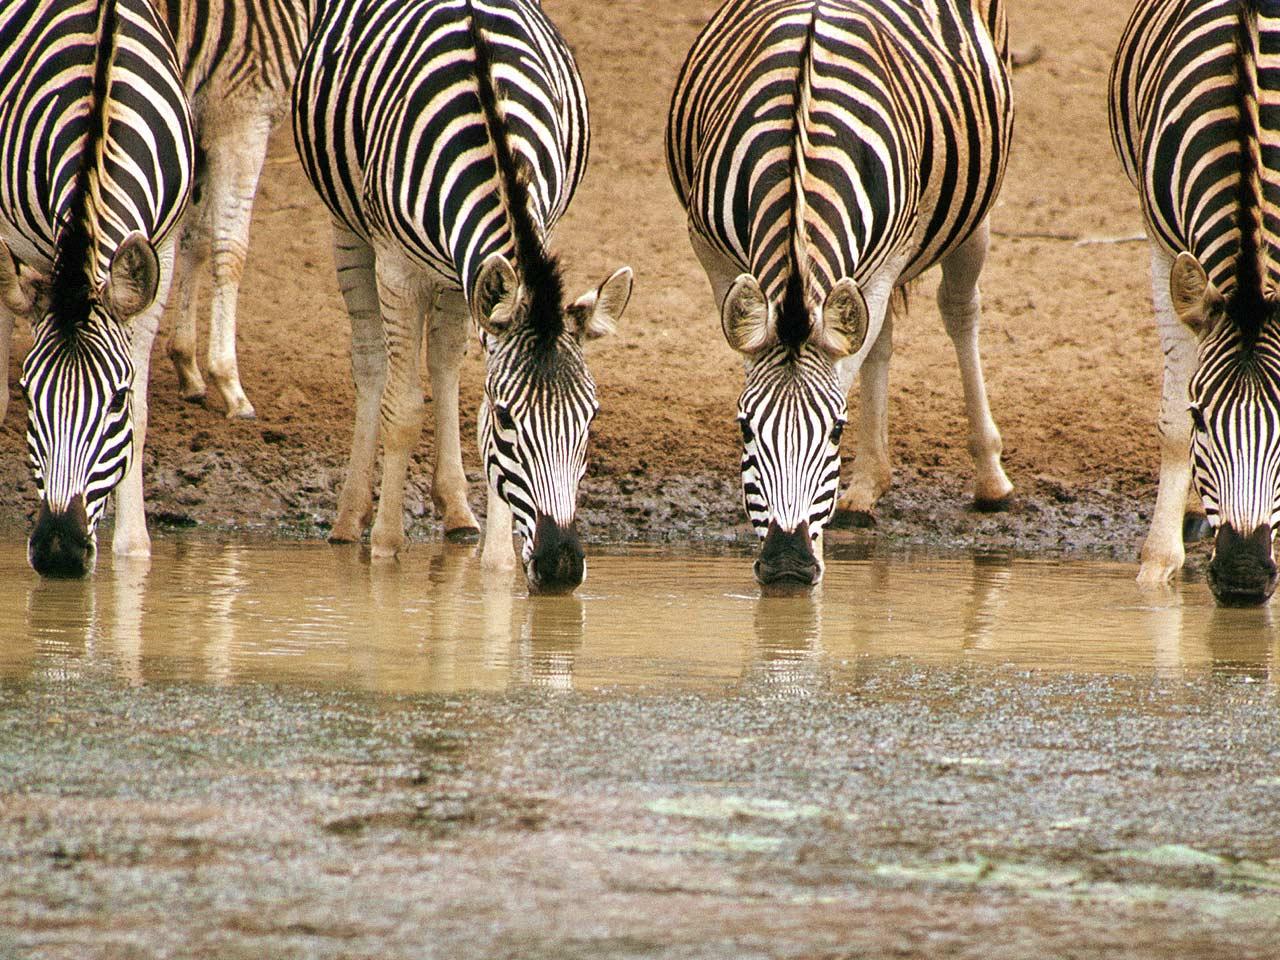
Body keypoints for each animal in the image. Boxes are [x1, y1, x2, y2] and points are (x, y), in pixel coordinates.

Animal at [0, 0, 194, 578]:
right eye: (31, 395)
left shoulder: (163, 249)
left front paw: (133, 548)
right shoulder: (35, 245)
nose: (59, 552)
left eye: (117, 400)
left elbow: (145, 408)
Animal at [153, 0, 311, 419]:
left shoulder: (200, 123)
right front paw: (229, 384)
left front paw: (187, 366)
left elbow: (196, 240)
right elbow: (231, 249)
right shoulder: (241, 118)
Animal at [291, 0, 629, 593]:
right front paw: (385, 546)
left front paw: (496, 565)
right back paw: (351, 520)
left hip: (457, 276)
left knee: (445, 359)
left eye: (590, 421)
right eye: (508, 421)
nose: (561, 567)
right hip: (349, 228)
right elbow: (403, 410)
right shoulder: (398, 270)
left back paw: (456, 512)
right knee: (371, 364)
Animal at [665, 0, 1013, 586]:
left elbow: (845, 373)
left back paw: (991, 478)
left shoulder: (893, 252)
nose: (786, 566)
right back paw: (866, 487)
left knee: (960, 310)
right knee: (880, 337)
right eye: (744, 429)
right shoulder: (710, 250)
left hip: (972, 205)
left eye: (834, 431)